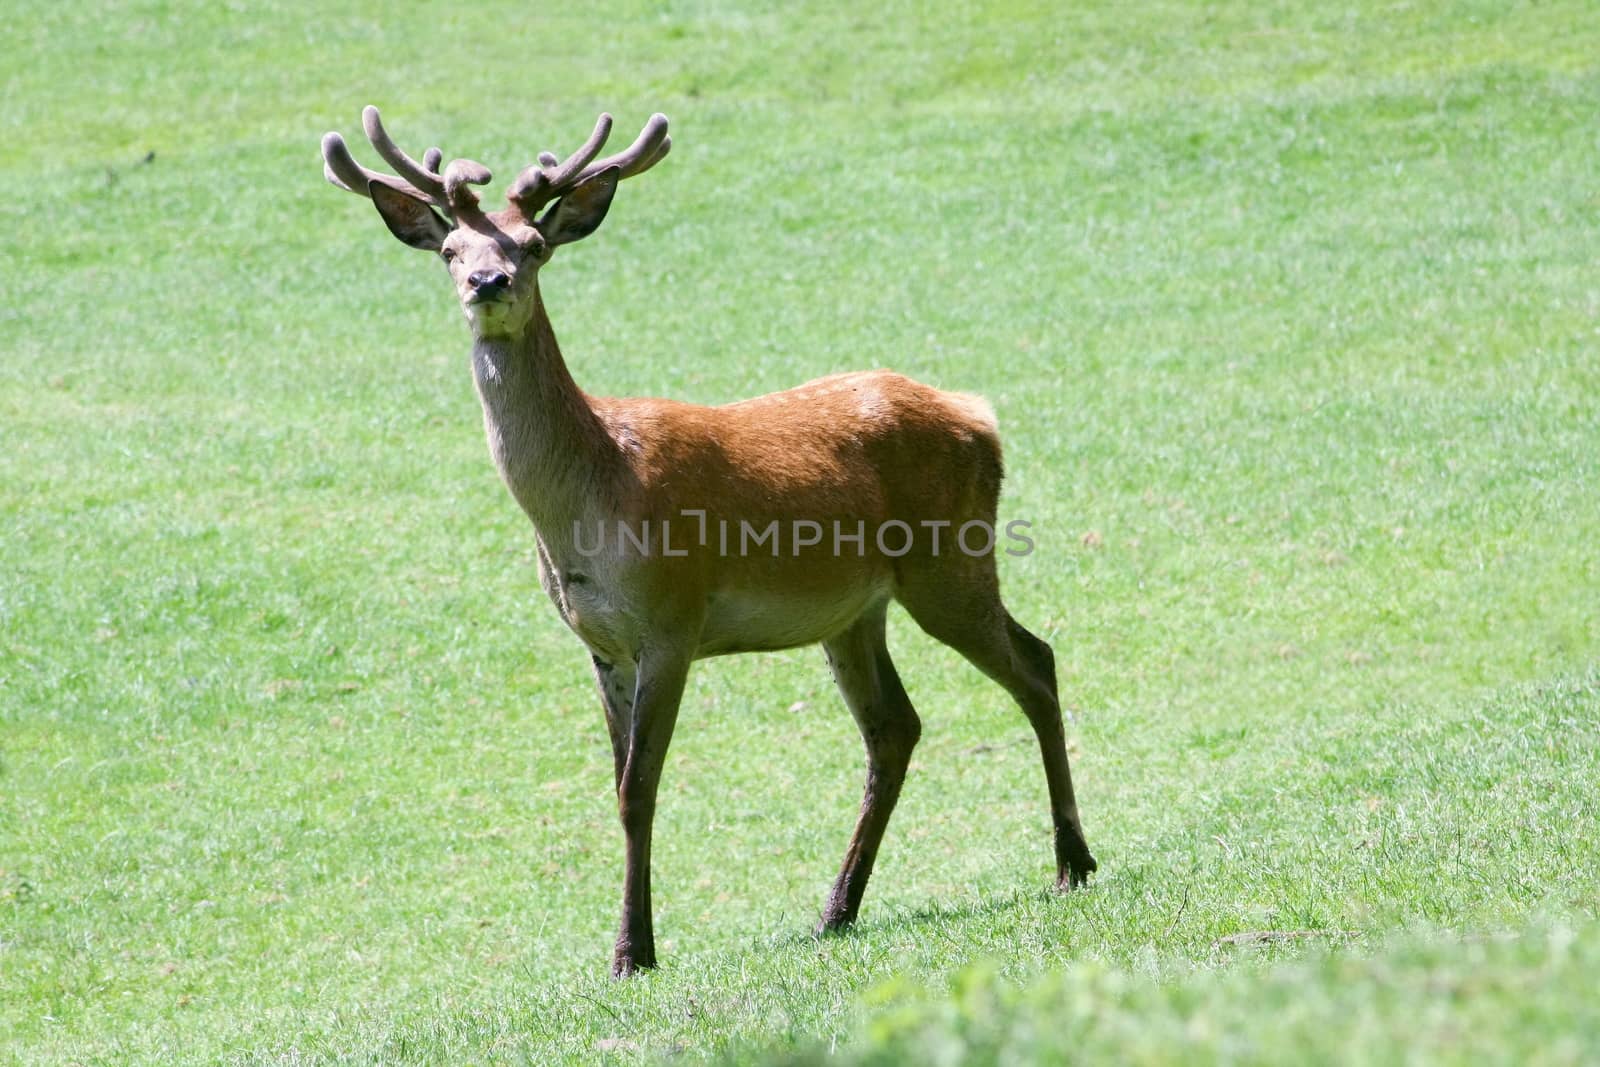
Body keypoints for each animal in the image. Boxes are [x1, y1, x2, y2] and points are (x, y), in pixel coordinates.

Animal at [321, 106, 1100, 979]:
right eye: (453, 249)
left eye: (532, 245)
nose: (489, 285)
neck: (586, 505)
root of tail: (981, 415)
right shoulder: (601, 645)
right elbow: (617, 784)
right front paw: (635, 942)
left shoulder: (673, 618)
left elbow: (639, 787)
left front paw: (633, 950)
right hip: (853, 611)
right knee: (896, 726)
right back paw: (837, 907)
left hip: (951, 562)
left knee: (1035, 662)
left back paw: (1072, 860)